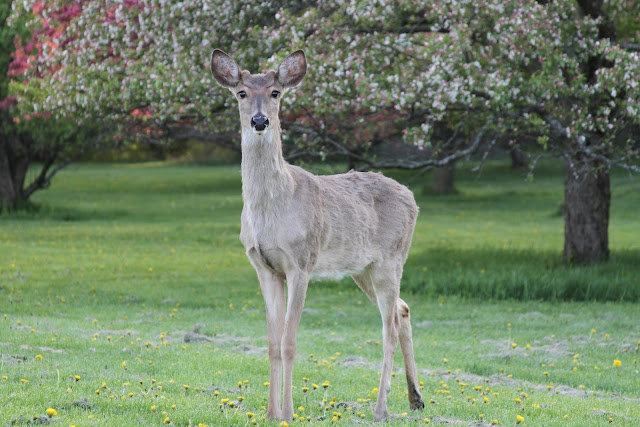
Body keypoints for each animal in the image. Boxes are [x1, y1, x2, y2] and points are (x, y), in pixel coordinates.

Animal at [210, 48, 424, 422]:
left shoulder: (301, 262)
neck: (271, 211)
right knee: (402, 309)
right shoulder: (263, 267)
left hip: (392, 258)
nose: (260, 121)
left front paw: (288, 413)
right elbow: (272, 343)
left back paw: (381, 409)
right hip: (362, 268)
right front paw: (270, 413)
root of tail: (413, 198)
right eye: (241, 93)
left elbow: (290, 342)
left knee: (388, 328)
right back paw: (415, 400)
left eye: (276, 92)